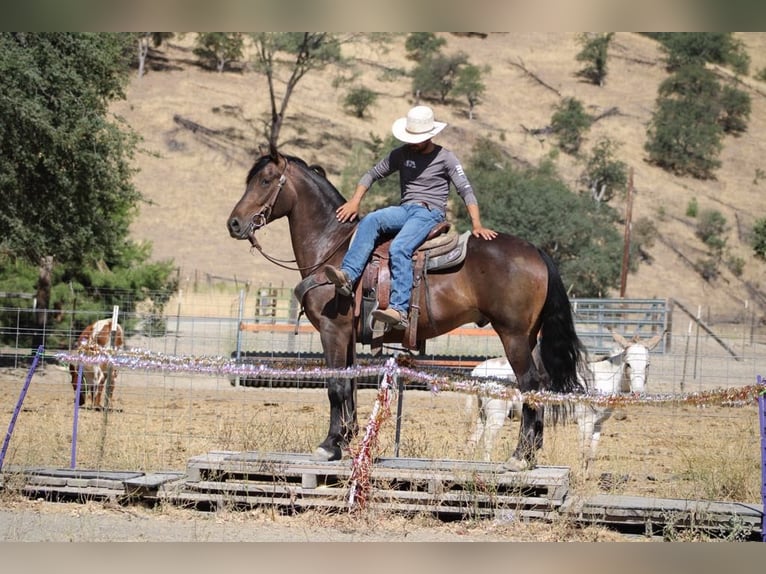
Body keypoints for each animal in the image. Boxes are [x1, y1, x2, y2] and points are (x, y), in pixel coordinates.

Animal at [226, 146, 589, 471]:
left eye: (265, 180)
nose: (234, 224)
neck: (334, 249)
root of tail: (535, 251)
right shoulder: (347, 335)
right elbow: (350, 386)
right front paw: (346, 438)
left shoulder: (332, 330)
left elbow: (336, 386)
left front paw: (329, 446)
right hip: (527, 336)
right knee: (539, 383)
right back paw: (531, 452)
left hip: (512, 336)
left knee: (529, 383)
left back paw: (520, 456)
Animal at [466, 329, 664, 471]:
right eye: (628, 364)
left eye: (648, 365)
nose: (638, 393)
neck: (603, 378)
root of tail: (478, 370)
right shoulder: (586, 421)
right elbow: (583, 451)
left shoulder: (598, 424)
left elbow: (592, 452)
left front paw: (587, 477)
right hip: (497, 414)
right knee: (488, 441)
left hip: (483, 414)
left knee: (474, 440)